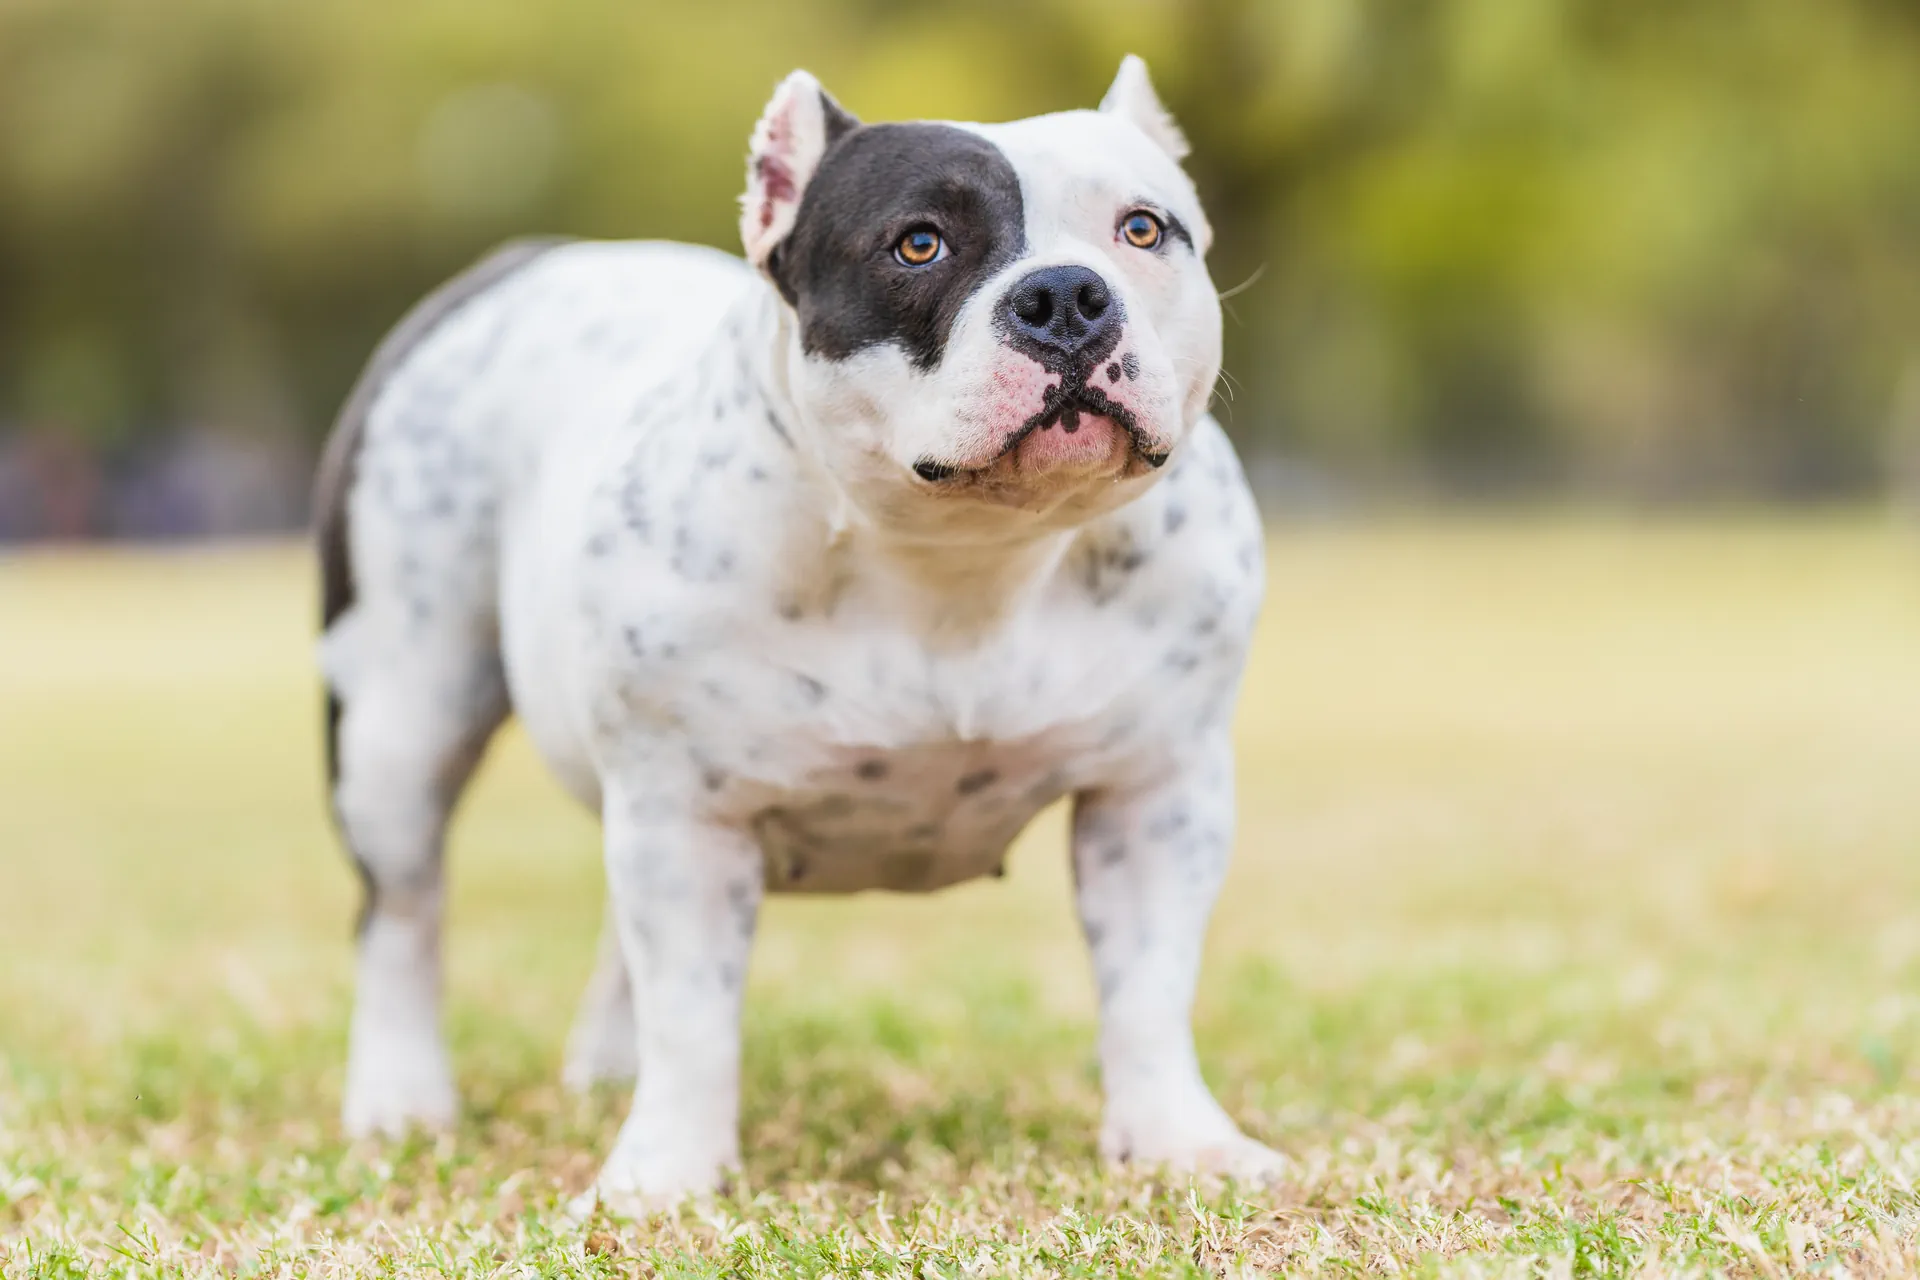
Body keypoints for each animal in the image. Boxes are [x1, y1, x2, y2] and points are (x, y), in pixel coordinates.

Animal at [311, 52, 1274, 1212]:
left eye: (1143, 230)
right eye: (919, 243)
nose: (1067, 297)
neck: (964, 556)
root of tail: (527, 259)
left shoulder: (1155, 796)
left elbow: (1148, 991)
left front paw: (1182, 1142)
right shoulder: (686, 814)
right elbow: (693, 1015)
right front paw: (665, 1175)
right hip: (398, 722)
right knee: (401, 911)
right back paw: (400, 1099)